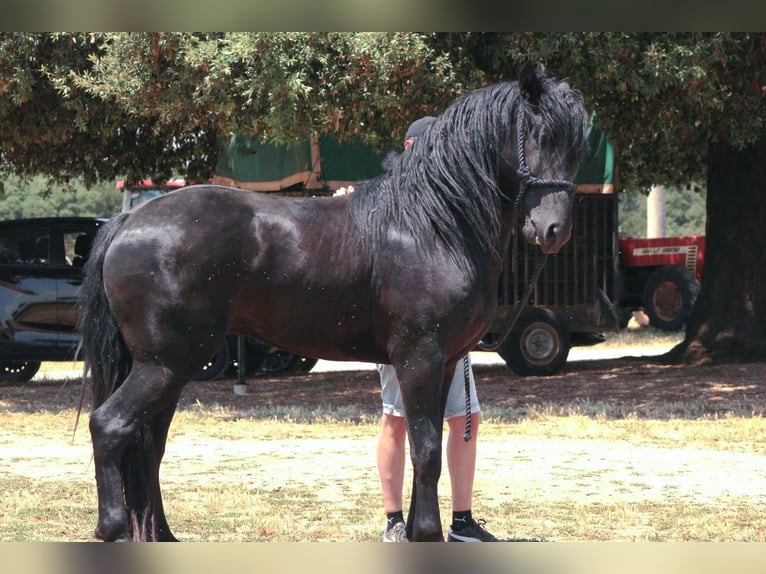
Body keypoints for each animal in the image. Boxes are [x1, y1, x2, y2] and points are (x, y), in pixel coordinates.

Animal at [78, 67, 589, 542]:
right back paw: (113, 528)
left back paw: (161, 535)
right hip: (166, 363)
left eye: (577, 148)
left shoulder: (444, 363)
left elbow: (429, 445)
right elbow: (424, 448)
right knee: (110, 426)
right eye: (539, 137)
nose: (554, 231)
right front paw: (426, 534)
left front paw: (422, 530)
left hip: (172, 366)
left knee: (148, 446)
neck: (433, 225)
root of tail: (128, 222)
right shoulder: (420, 357)